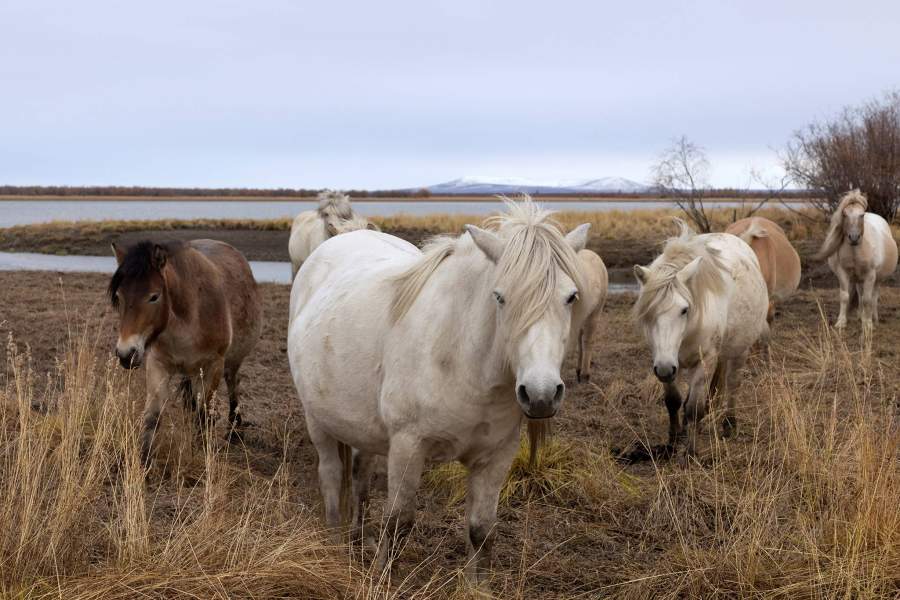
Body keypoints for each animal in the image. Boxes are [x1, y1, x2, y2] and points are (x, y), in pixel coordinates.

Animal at [108, 239, 262, 464]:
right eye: (119, 296)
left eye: (154, 296)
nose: (126, 354)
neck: (188, 320)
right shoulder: (157, 365)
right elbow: (152, 417)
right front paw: (144, 463)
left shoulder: (212, 367)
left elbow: (202, 415)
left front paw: (201, 451)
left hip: (230, 363)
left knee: (233, 384)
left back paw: (234, 430)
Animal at [288, 200, 592, 580]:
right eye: (500, 297)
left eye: (571, 297)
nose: (541, 394)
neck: (461, 356)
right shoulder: (407, 446)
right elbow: (399, 523)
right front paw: (384, 580)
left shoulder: (497, 455)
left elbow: (481, 530)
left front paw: (477, 586)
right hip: (318, 419)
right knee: (331, 477)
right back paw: (333, 544)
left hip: (360, 426)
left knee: (359, 477)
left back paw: (358, 540)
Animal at [632, 221, 768, 460]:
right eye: (648, 313)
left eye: (684, 309)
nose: (665, 368)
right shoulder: (664, 360)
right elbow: (674, 401)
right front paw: (673, 441)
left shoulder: (703, 361)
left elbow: (694, 408)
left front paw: (691, 453)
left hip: (740, 350)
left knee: (732, 383)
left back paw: (729, 425)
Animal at [820, 191, 896, 330]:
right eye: (844, 214)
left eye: (862, 214)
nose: (854, 238)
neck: (856, 250)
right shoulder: (843, 273)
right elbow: (845, 296)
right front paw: (841, 322)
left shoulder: (870, 275)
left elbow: (868, 299)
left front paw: (868, 324)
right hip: (858, 279)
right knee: (860, 295)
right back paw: (860, 317)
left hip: (877, 279)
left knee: (873, 296)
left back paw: (873, 318)